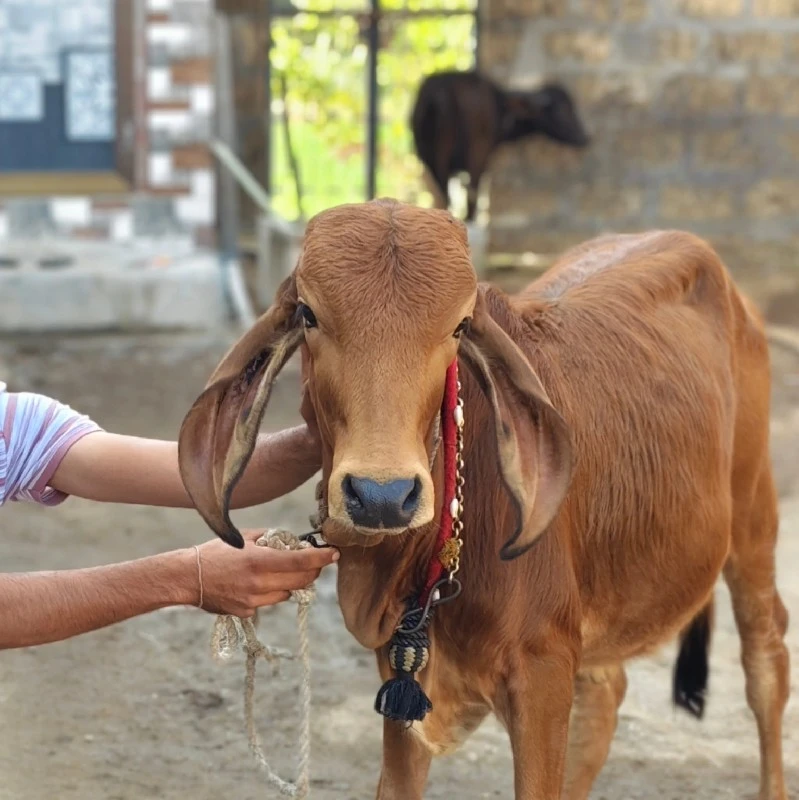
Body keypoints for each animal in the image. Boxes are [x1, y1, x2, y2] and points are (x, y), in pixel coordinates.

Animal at [180, 202, 788, 800]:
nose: (382, 497)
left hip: (753, 519)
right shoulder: (404, 687)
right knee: (607, 693)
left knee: (767, 662)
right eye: (308, 314)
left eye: (459, 326)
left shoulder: (543, 677)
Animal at [416, 70, 592, 222]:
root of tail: (439, 94)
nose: (584, 138)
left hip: (428, 157)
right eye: (561, 110)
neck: (501, 108)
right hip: (469, 152)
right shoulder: (481, 157)